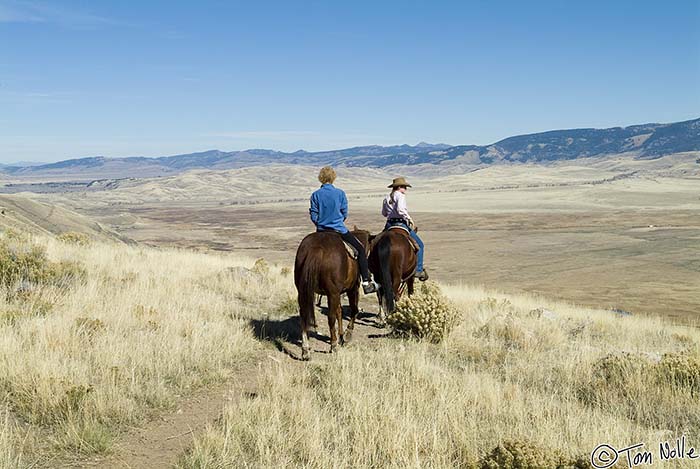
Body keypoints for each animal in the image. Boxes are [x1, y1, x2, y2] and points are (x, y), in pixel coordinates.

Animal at [296, 229, 372, 360]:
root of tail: (317, 248)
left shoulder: (337, 293)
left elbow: (339, 311)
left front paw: (341, 336)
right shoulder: (352, 289)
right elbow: (353, 310)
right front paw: (347, 335)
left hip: (303, 292)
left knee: (304, 316)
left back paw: (305, 349)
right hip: (333, 293)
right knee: (331, 317)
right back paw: (333, 345)